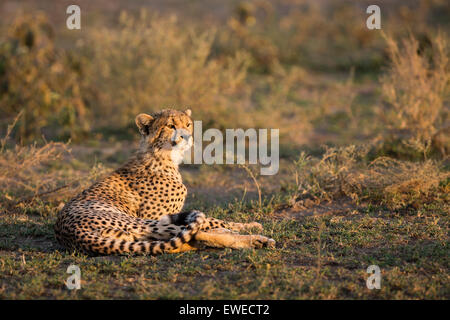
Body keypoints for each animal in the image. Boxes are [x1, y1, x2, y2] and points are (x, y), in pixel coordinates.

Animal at [54, 108, 276, 255]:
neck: (164, 156)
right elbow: (208, 221)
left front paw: (248, 224)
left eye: (188, 124)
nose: (187, 136)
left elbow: (211, 220)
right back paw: (257, 241)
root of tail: (69, 233)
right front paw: (249, 228)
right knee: (195, 233)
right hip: (141, 222)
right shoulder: (158, 215)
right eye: (171, 126)